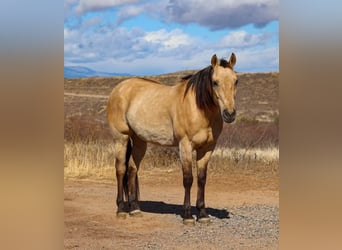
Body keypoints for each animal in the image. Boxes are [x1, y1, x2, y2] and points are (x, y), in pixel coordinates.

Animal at [107, 52, 238, 225]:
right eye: (215, 82)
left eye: (236, 81)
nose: (229, 114)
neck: (198, 108)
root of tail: (119, 89)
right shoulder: (185, 146)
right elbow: (188, 179)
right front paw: (188, 216)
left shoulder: (207, 148)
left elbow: (201, 179)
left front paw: (202, 214)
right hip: (121, 138)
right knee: (121, 170)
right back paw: (121, 209)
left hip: (140, 141)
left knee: (132, 169)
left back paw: (135, 209)